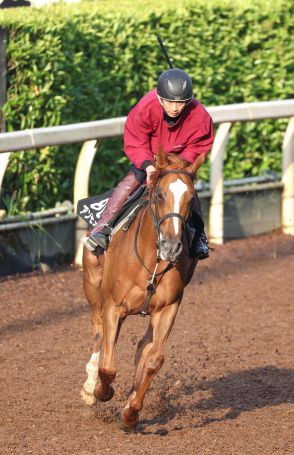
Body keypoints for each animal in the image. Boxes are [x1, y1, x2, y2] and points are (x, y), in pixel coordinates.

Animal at [80, 150, 204, 432]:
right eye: (159, 195)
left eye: (191, 198)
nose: (171, 246)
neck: (152, 259)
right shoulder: (113, 307)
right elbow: (108, 368)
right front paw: (102, 391)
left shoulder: (168, 309)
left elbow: (153, 359)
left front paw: (130, 412)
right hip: (93, 288)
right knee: (97, 331)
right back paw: (90, 387)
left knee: (142, 346)